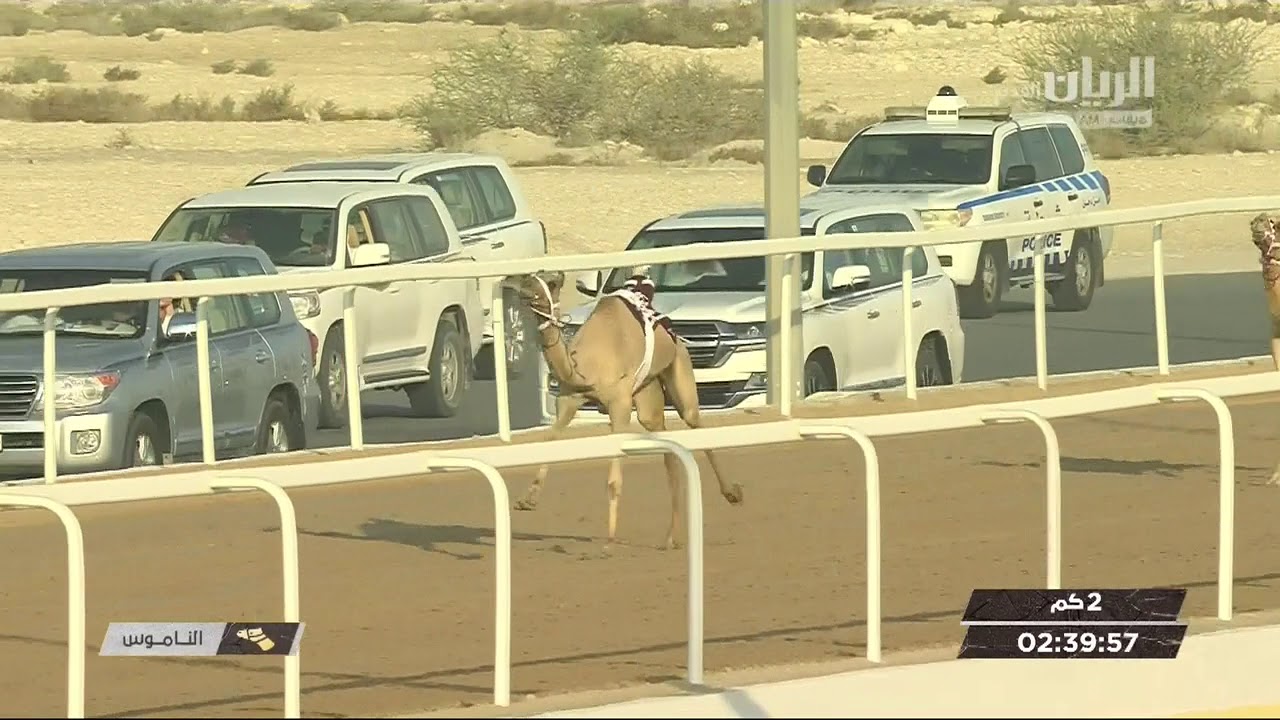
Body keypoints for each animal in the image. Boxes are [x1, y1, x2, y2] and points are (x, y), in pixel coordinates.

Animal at [502, 269, 744, 549]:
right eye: (531, 277)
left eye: (551, 283)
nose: (525, 288)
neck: (584, 369)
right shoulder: (568, 400)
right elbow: (549, 441)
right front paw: (527, 500)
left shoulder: (619, 405)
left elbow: (613, 479)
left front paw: (609, 541)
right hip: (648, 394)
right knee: (666, 444)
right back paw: (670, 537)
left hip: (678, 367)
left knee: (693, 419)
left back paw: (732, 494)